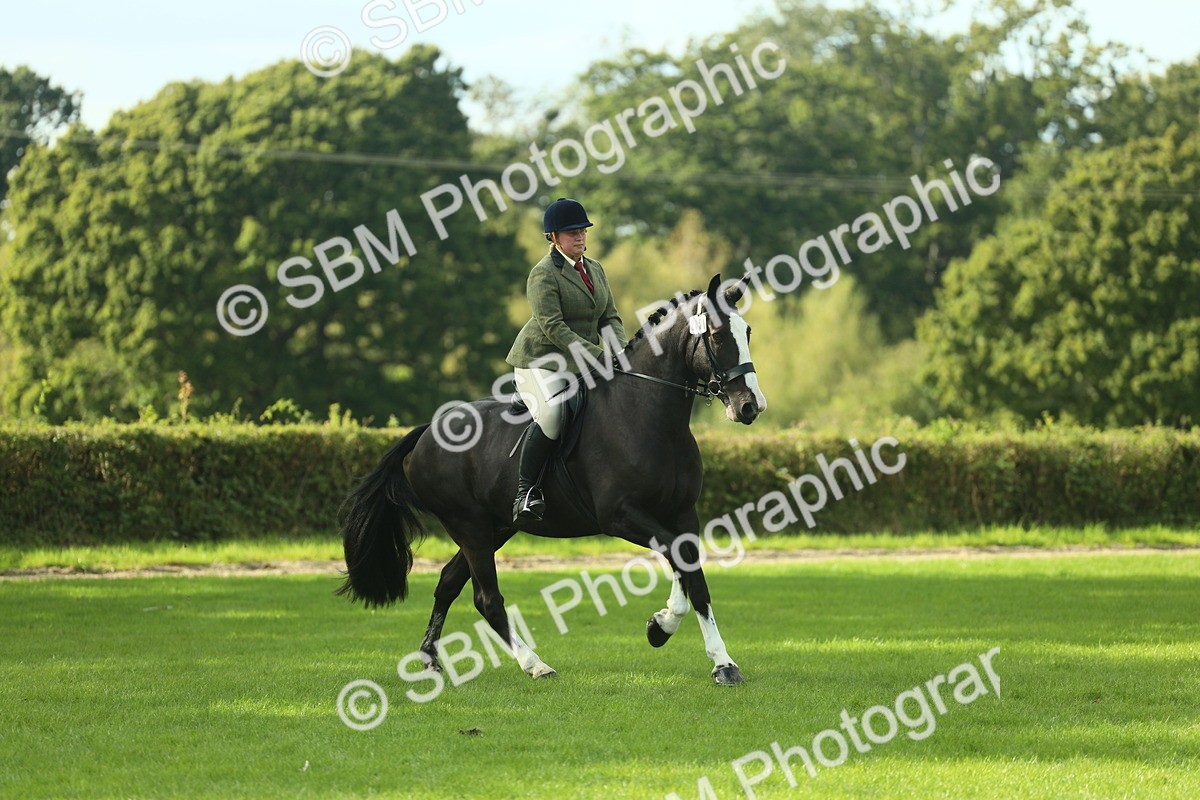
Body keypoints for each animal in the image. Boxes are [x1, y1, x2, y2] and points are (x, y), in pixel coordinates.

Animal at [336, 273, 768, 685]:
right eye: (717, 335)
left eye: (747, 331)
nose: (751, 407)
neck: (650, 416)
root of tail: (427, 431)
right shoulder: (620, 516)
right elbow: (681, 561)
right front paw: (665, 628)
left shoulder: (682, 513)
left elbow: (692, 573)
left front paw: (707, 654)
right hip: (469, 526)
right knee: (487, 598)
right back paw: (536, 665)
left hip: (495, 527)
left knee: (448, 583)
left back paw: (430, 660)